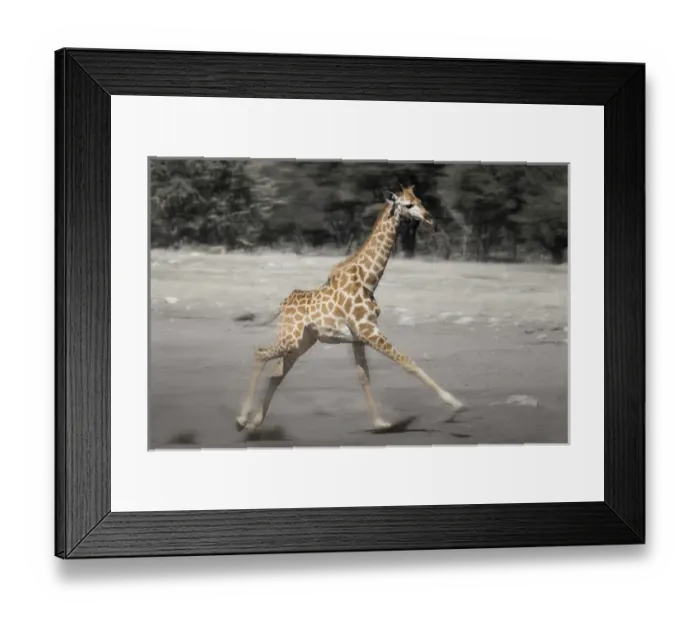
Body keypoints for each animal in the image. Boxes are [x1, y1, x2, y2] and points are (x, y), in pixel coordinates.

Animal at [236, 185, 467, 433]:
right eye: (408, 205)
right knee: (261, 354)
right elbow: (406, 362)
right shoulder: (369, 332)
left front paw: (381, 423)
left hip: (302, 341)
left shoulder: (359, 338)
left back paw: (254, 423)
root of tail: (283, 304)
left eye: (420, 200)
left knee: (277, 372)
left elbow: (364, 376)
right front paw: (456, 405)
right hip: (290, 337)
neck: (369, 280)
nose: (429, 218)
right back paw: (241, 420)